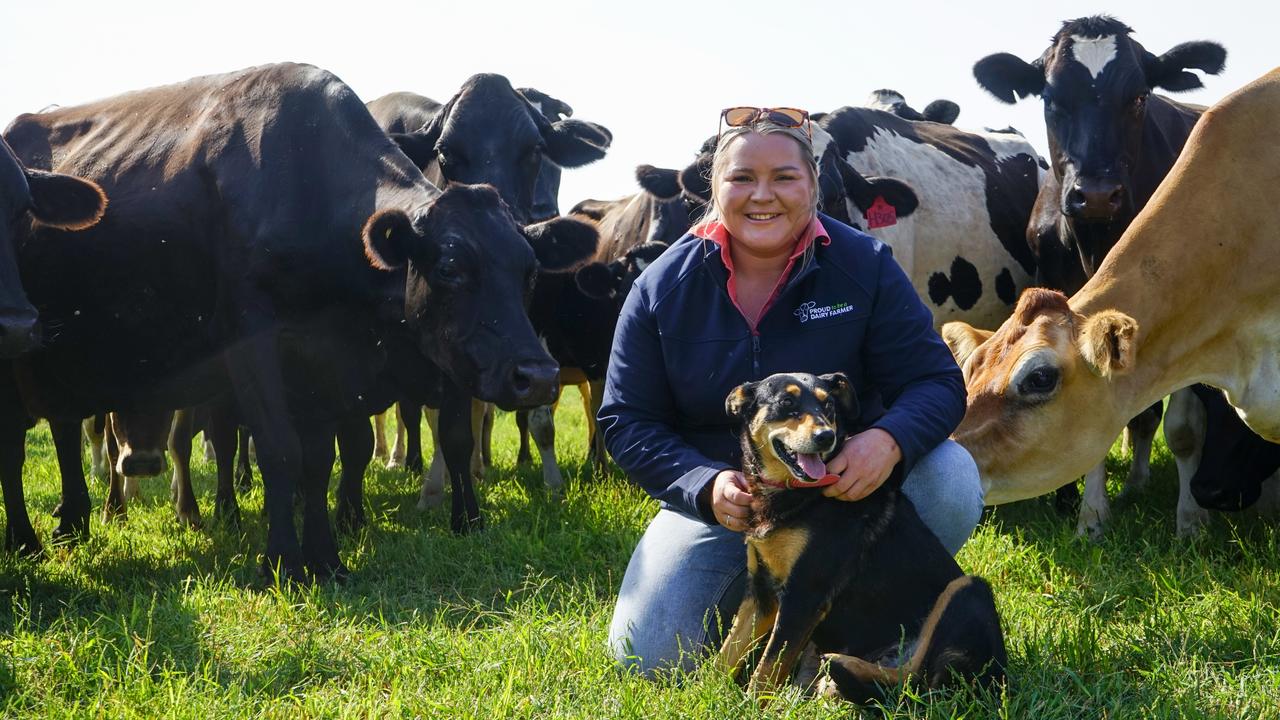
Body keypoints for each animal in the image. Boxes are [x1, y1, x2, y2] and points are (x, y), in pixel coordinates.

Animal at [0, 65, 596, 576]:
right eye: (449, 267)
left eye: (529, 271)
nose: (537, 377)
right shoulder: (252, 342)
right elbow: (279, 448)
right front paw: (283, 561)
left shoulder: (324, 360)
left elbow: (323, 457)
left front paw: (326, 559)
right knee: (48, 435)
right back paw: (46, 533)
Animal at [716, 368, 1003, 702]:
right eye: (787, 402)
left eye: (828, 406)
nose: (825, 436)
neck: (793, 493)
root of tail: (997, 680)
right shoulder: (760, 590)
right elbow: (727, 653)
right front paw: (704, 692)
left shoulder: (804, 593)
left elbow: (768, 666)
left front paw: (749, 705)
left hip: (967, 589)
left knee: (912, 680)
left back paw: (840, 664)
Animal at [972, 15, 1264, 538]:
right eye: (1051, 99)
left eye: (1139, 96)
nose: (1096, 193)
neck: (1096, 240)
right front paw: (1091, 516)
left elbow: (1182, 428)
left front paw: (1189, 521)